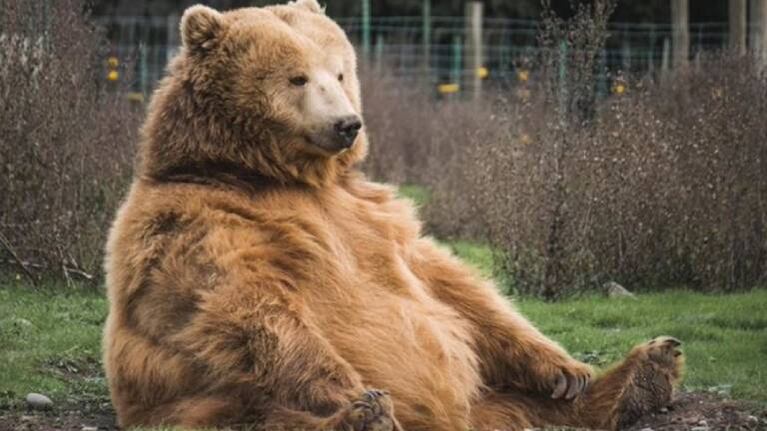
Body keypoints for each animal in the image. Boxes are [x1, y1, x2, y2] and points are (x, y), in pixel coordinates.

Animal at [102, 1, 684, 430]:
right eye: (297, 78)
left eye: (340, 71)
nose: (347, 124)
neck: (274, 175)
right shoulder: (198, 223)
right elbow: (246, 306)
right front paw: (355, 394)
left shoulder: (373, 216)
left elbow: (453, 285)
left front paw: (565, 369)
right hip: (200, 403)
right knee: (261, 414)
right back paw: (365, 416)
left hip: (491, 398)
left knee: (530, 406)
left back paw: (643, 373)